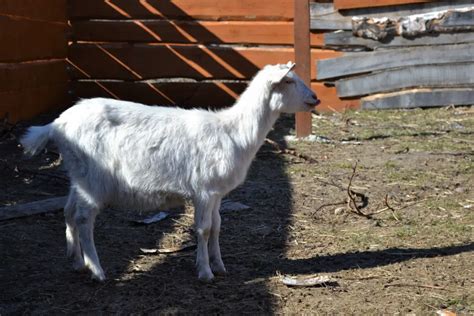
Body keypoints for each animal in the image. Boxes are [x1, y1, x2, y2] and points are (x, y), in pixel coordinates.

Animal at [21, 61, 318, 282]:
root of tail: (57, 124)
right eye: (289, 81)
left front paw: (220, 265)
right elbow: (204, 229)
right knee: (84, 219)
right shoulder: (204, 190)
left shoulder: (217, 193)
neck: (233, 132)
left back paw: (76, 261)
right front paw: (205, 272)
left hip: (78, 175)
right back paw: (96, 270)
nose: (315, 98)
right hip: (93, 179)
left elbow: (218, 226)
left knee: (69, 210)